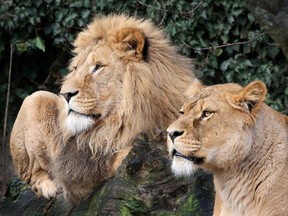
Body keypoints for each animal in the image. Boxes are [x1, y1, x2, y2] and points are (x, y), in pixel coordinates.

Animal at [9, 14, 200, 205]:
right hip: (35, 99)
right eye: (75, 68)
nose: (65, 94)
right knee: (32, 175)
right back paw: (49, 187)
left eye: (98, 66)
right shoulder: (85, 170)